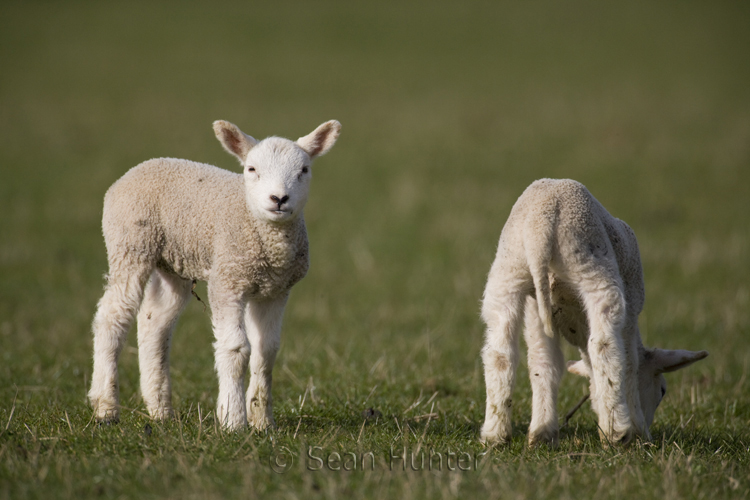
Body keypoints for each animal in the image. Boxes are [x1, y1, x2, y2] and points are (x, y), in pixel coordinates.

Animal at [89, 118, 344, 430]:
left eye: (304, 170)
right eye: (252, 169)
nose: (279, 198)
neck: (269, 242)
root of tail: (140, 167)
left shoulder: (274, 290)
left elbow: (266, 353)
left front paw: (262, 421)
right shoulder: (227, 281)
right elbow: (236, 349)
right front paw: (233, 419)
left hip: (174, 264)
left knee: (154, 323)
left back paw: (160, 409)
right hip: (130, 244)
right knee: (113, 316)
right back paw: (105, 408)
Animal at [482, 179, 712, 446]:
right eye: (662, 391)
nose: (646, 434)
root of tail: (542, 223)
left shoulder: (535, 311)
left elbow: (544, 362)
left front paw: (544, 433)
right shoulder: (632, 307)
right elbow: (630, 363)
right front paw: (637, 430)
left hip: (508, 273)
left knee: (502, 352)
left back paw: (498, 433)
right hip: (593, 270)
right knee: (604, 346)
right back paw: (616, 432)